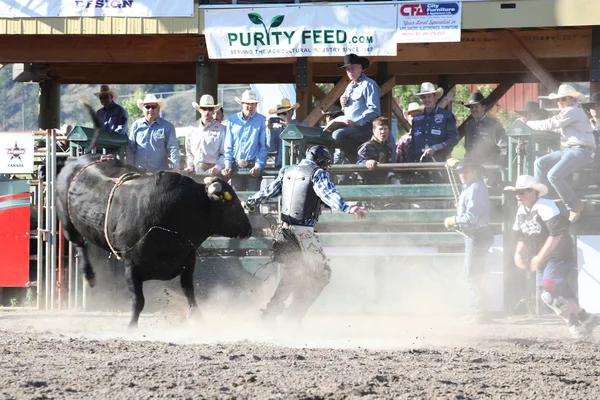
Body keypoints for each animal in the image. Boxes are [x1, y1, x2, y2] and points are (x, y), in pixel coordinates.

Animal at [55, 155, 252, 326]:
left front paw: (199, 320)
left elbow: (189, 292)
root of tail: (74, 161)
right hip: (67, 221)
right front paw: (131, 327)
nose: (248, 229)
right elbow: (138, 301)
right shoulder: (131, 266)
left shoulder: (187, 260)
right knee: (79, 244)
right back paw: (89, 276)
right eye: (231, 202)